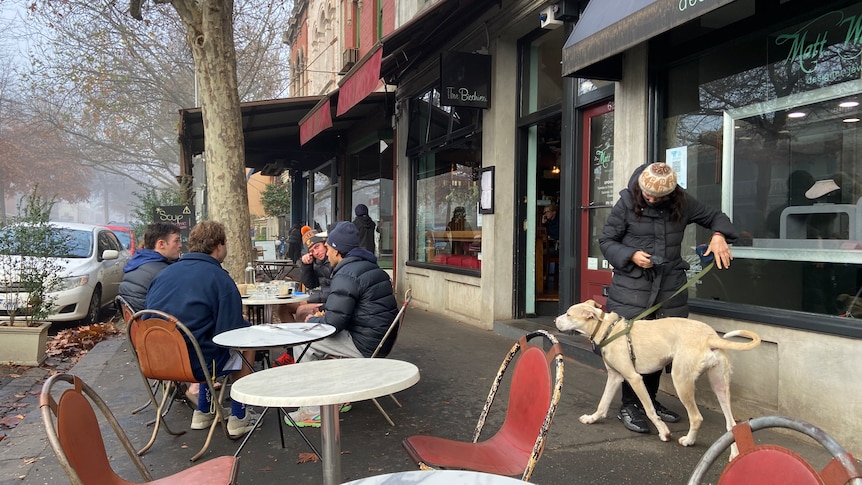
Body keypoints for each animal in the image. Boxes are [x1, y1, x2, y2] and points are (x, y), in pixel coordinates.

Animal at [556, 300, 760, 448]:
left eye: (568, 314)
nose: (554, 321)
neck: (609, 329)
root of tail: (710, 337)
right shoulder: (614, 377)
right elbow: (602, 404)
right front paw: (591, 419)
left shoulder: (634, 378)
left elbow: (650, 409)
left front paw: (663, 431)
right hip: (719, 384)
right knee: (731, 424)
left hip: (681, 381)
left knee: (696, 418)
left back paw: (688, 441)